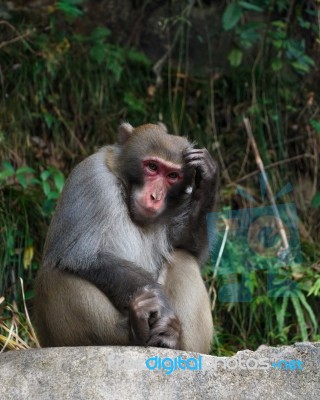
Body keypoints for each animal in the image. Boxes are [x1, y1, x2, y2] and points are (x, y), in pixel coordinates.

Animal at [35, 122, 219, 354]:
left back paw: (172, 342)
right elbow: (82, 256)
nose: (155, 197)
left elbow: (188, 246)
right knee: (54, 275)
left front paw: (207, 182)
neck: (124, 187)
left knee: (183, 258)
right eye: (152, 167)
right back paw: (136, 331)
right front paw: (161, 303)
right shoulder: (93, 179)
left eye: (172, 176)